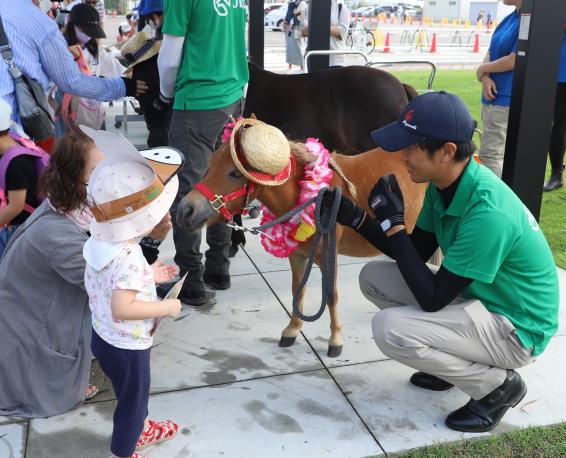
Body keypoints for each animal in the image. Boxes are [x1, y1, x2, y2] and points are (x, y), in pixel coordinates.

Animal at [176, 126, 426, 358]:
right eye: (210, 164)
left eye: (235, 173)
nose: (186, 210)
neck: (314, 200)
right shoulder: (297, 255)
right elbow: (298, 289)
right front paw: (293, 329)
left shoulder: (329, 254)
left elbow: (331, 295)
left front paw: (335, 339)